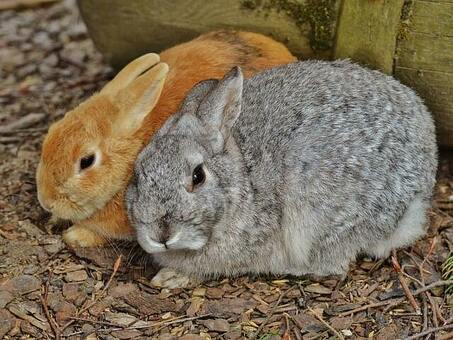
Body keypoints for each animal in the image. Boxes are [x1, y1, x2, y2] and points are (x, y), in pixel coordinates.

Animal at [125, 59, 436, 288]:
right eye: (138, 175)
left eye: (198, 176)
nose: (161, 234)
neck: (243, 179)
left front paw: (172, 277)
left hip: (321, 214)